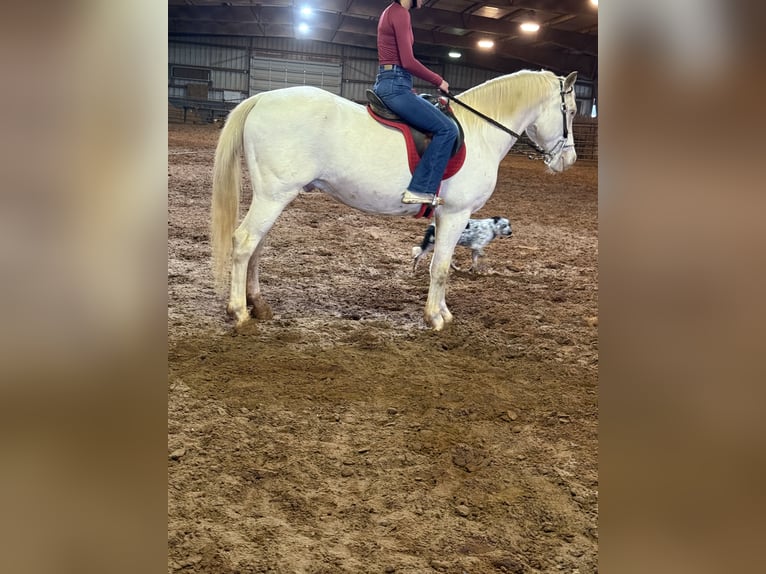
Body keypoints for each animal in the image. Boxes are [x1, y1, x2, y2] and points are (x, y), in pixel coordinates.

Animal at [211, 69, 579, 331]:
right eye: (572, 111)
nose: (568, 160)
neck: (480, 132)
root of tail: (262, 99)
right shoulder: (456, 214)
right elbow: (440, 268)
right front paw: (435, 318)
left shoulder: (446, 217)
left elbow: (439, 264)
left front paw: (443, 312)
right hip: (274, 195)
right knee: (245, 242)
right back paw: (239, 312)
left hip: (273, 197)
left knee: (257, 246)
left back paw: (259, 305)